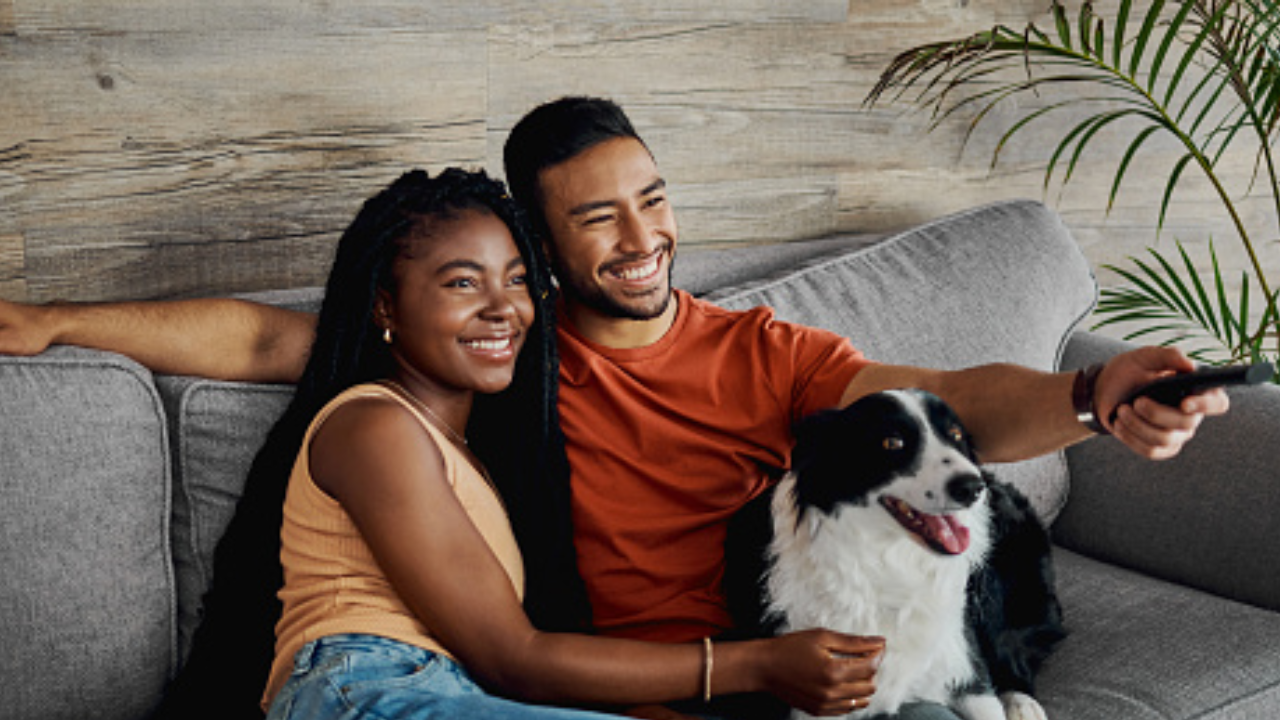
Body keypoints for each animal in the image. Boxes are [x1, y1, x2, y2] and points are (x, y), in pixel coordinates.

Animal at [727, 389, 1064, 717]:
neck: (889, 562)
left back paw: (1022, 703)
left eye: (955, 435)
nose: (972, 487)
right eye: (892, 442)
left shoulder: (963, 663)